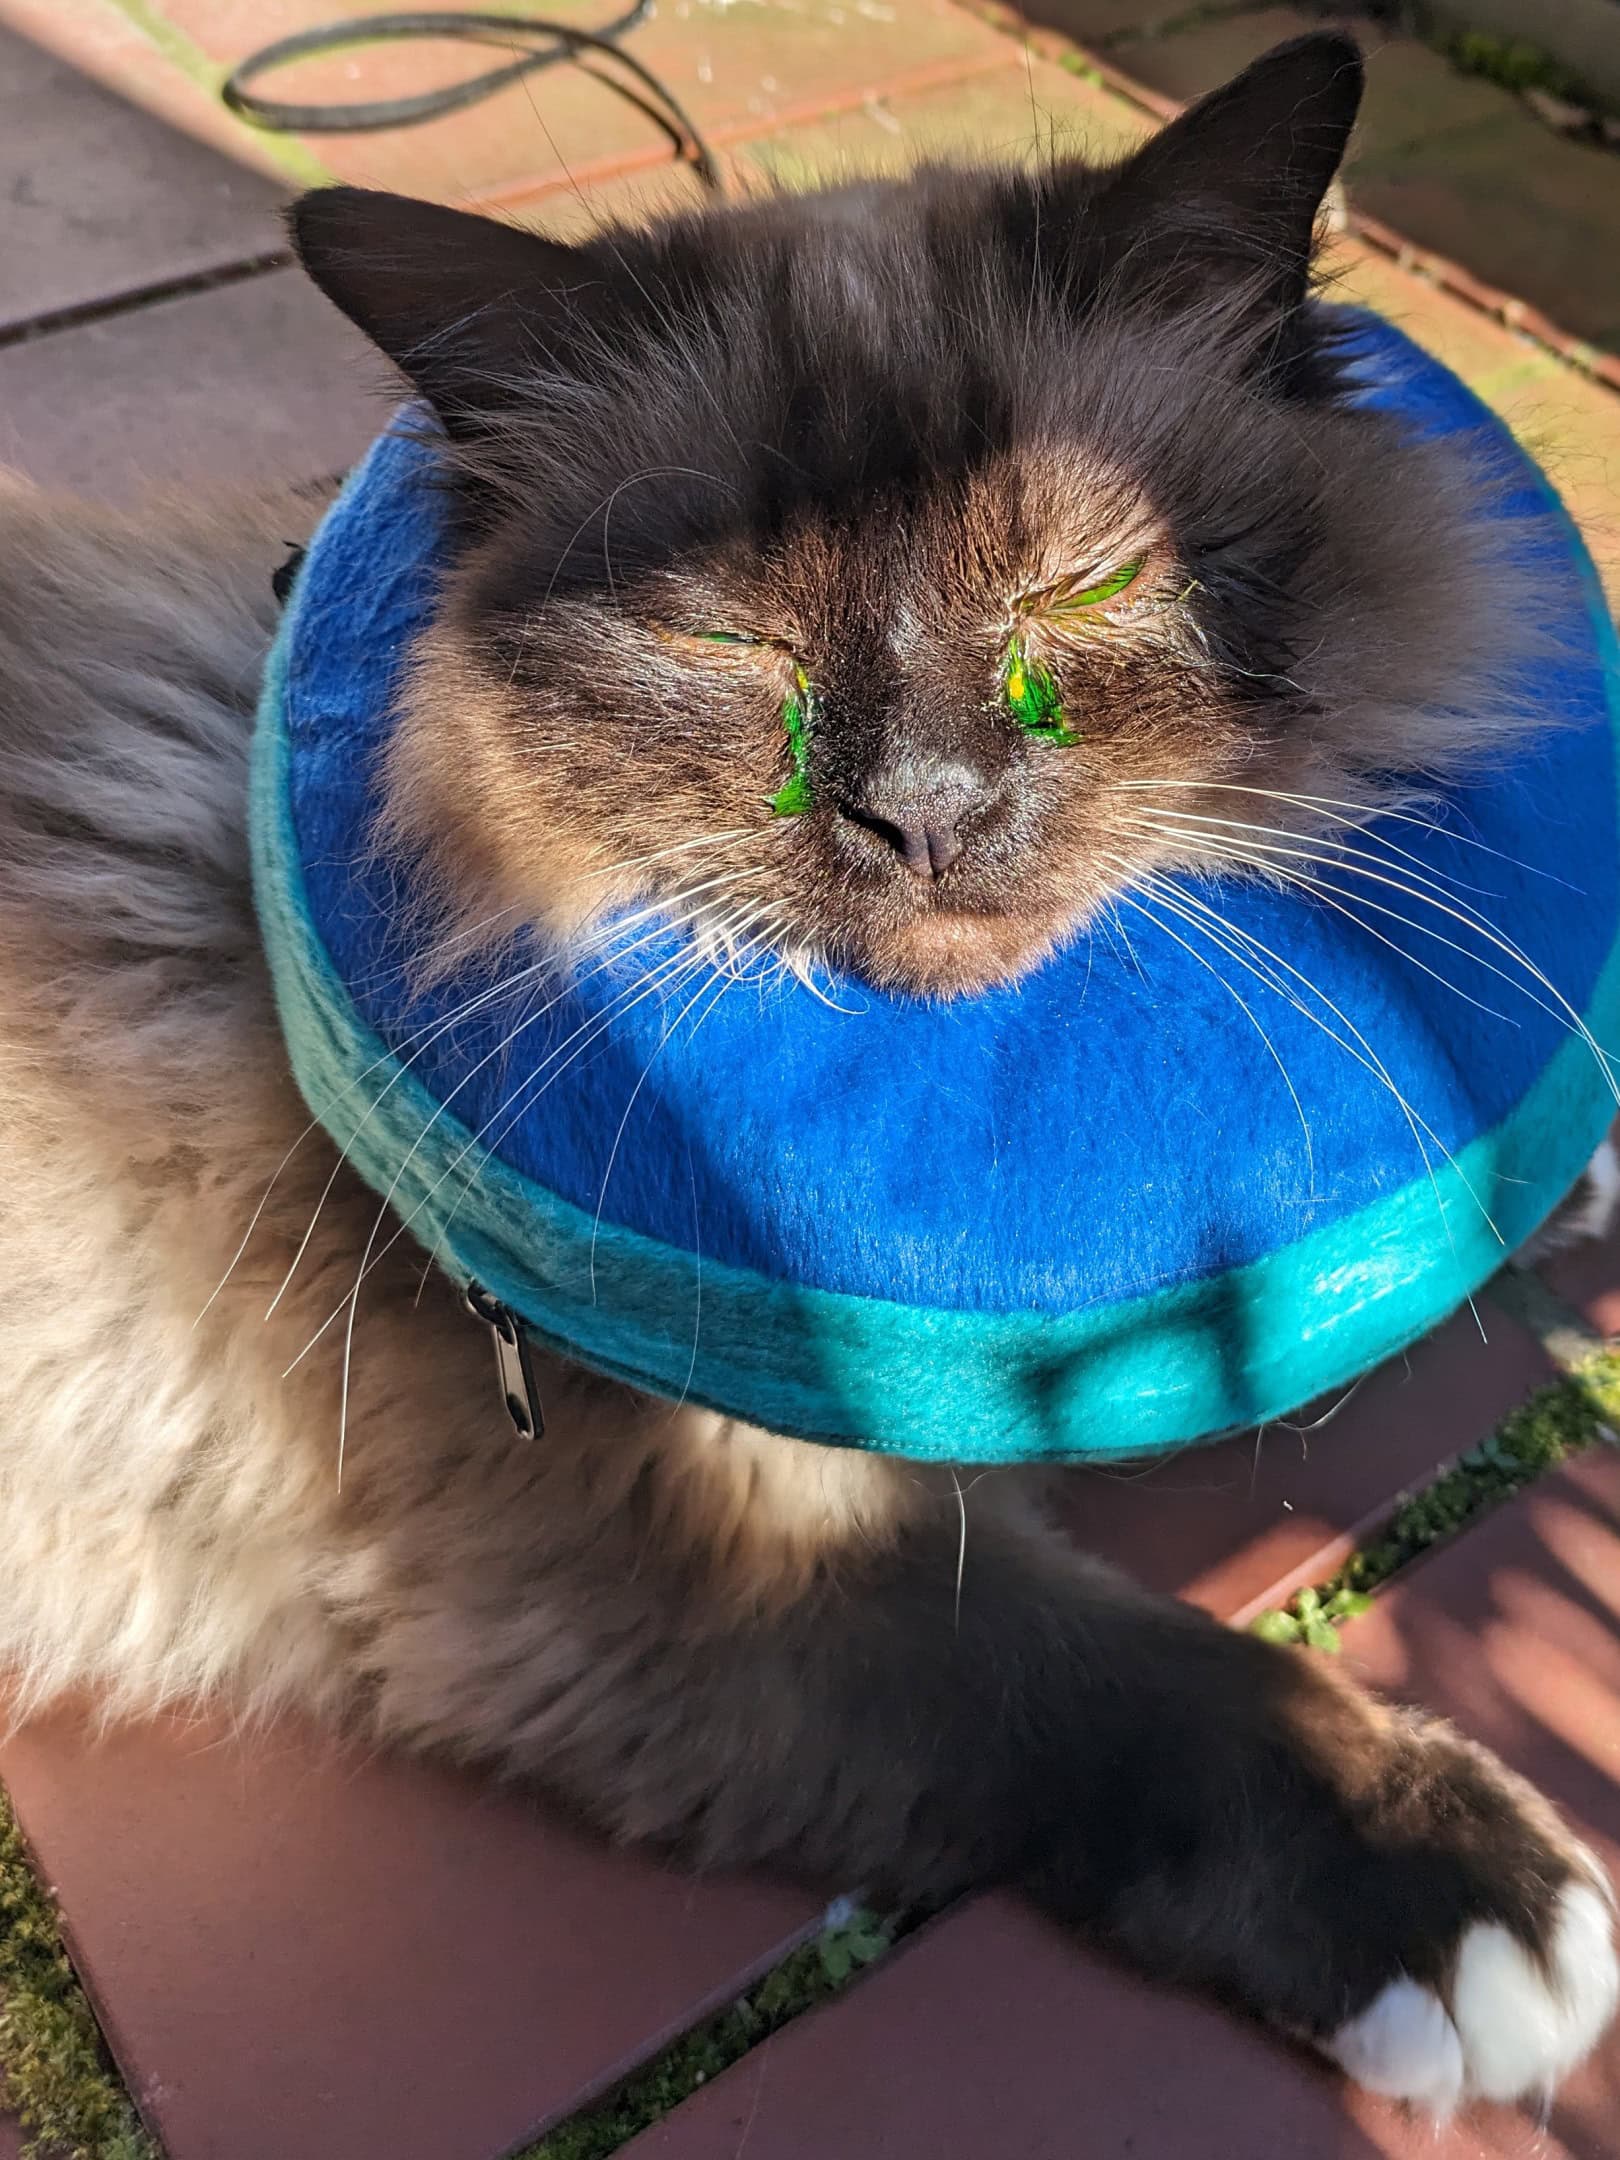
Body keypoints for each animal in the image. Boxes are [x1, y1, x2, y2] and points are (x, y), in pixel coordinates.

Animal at [0, 29, 1615, 2119]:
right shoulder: (675, 1581)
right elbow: (1106, 1679)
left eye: (1081, 593)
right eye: (723, 636)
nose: (926, 811)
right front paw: (1480, 1911)